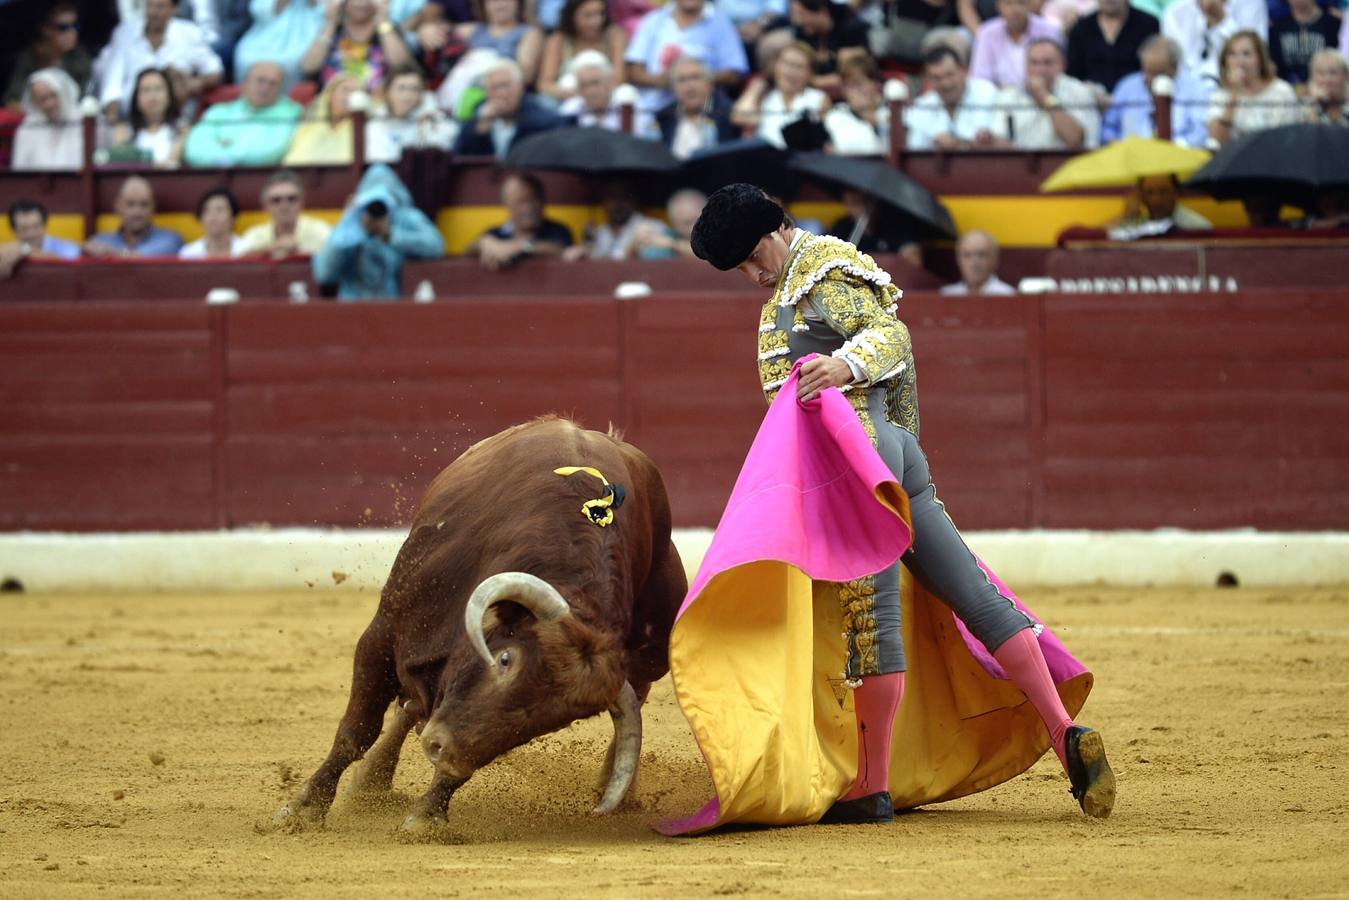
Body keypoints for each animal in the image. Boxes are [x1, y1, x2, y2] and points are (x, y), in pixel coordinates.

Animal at [277, 418, 690, 836]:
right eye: (505, 659)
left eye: (555, 722)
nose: (439, 748)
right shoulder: (381, 636)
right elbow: (357, 730)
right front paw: (304, 807)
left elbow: (461, 757)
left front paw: (427, 816)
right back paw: (367, 785)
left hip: (651, 658)